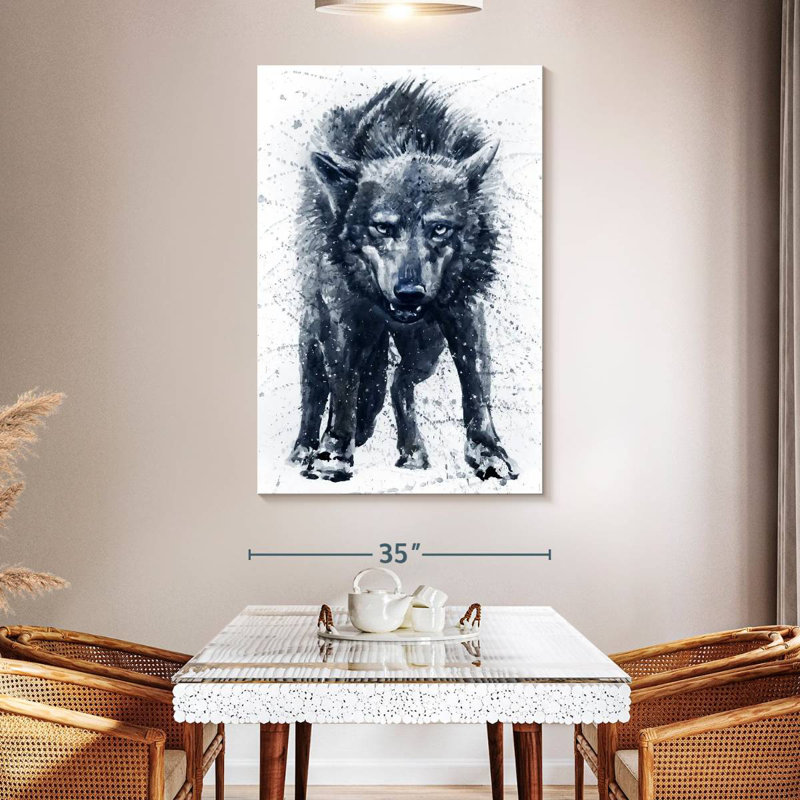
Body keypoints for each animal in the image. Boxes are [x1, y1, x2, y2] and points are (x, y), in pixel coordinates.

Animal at [290, 80, 518, 484]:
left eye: (439, 228)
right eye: (383, 227)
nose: (410, 294)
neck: (403, 139)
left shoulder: (464, 310)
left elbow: (476, 388)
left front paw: (488, 454)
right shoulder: (342, 317)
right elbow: (344, 388)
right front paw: (333, 455)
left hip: (426, 348)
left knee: (400, 381)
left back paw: (412, 451)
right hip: (313, 335)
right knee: (315, 394)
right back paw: (303, 450)